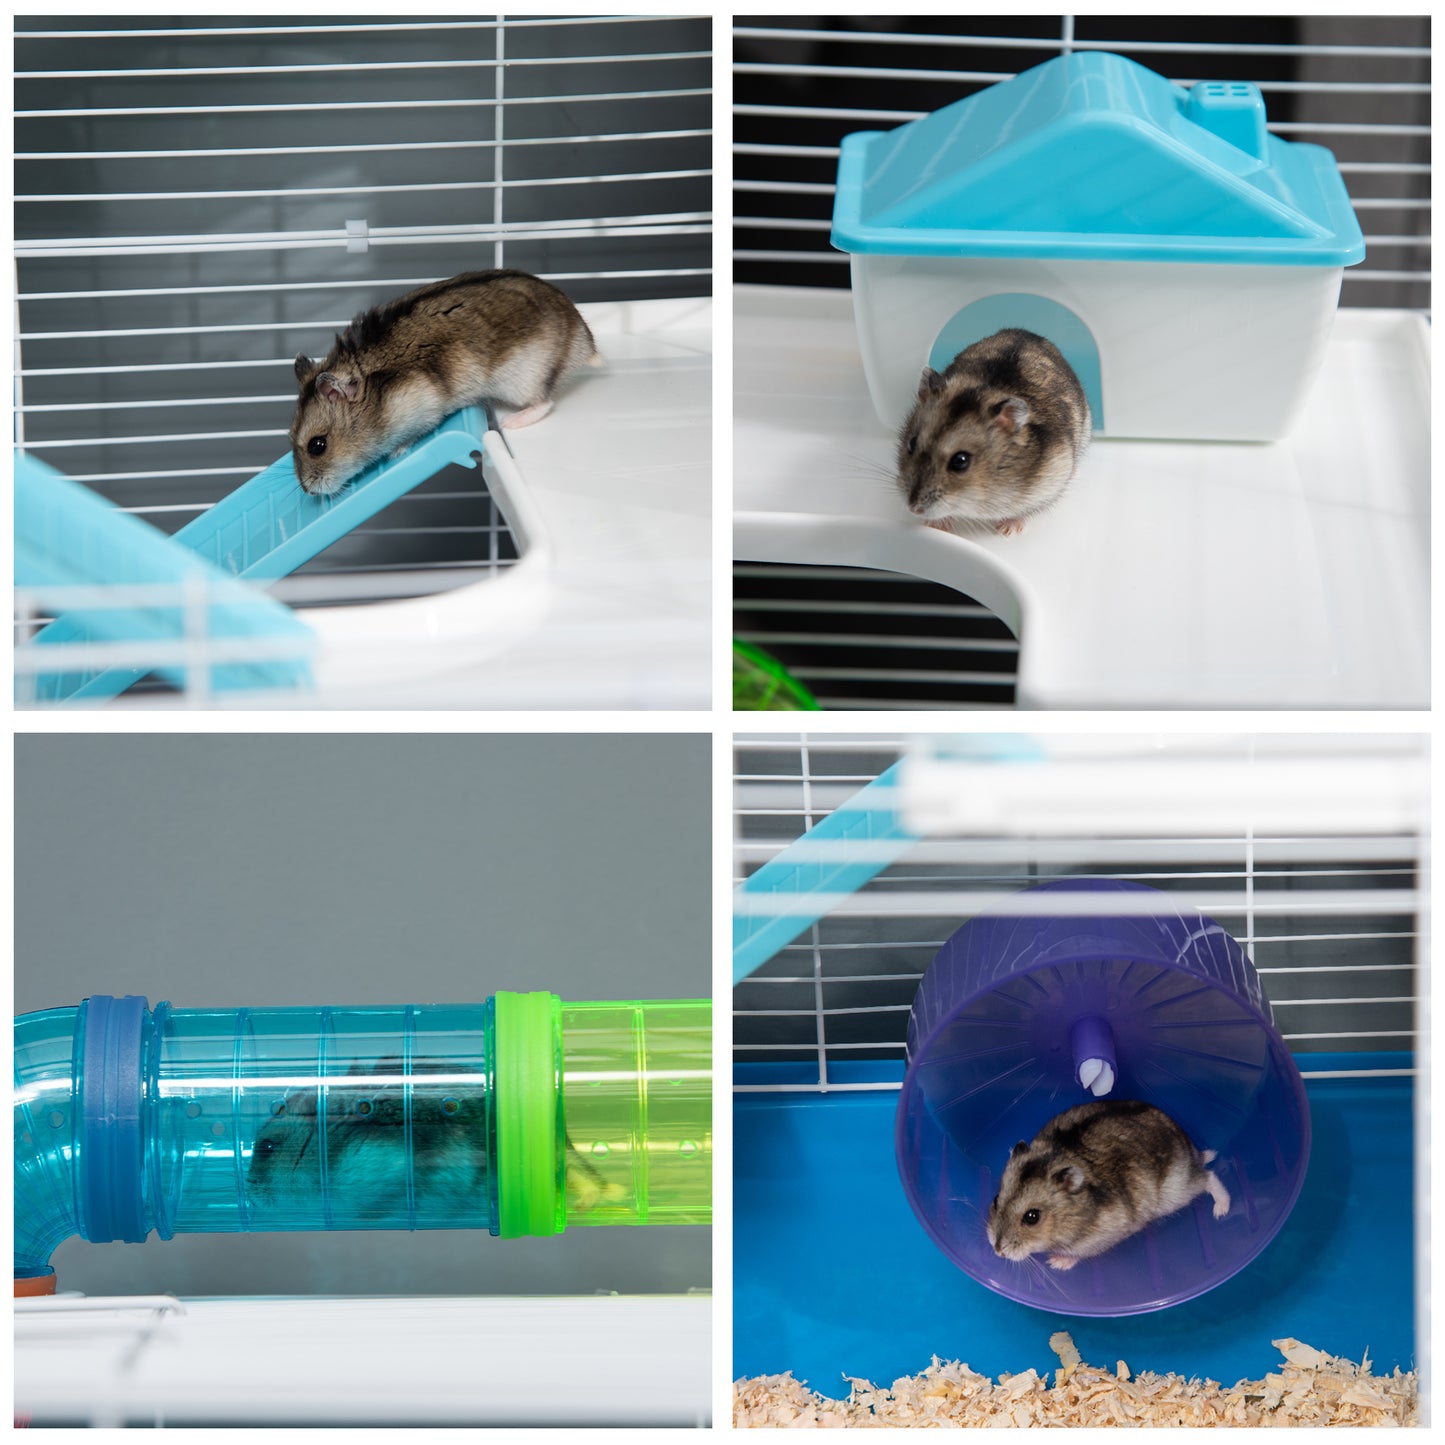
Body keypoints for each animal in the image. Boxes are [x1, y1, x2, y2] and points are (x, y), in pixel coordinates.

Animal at [290, 269, 600, 496]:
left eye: (318, 446)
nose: (308, 491)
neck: (376, 397)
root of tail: (584, 340)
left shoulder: (421, 405)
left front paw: (396, 452)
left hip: (523, 380)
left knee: (544, 403)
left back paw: (513, 422)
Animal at [897, 328, 1090, 537]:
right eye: (911, 444)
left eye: (961, 461)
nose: (913, 509)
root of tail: (1027, 332)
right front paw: (936, 525)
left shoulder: (1051, 479)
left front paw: (1006, 531)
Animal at [986, 1100, 1230, 1271]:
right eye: (995, 1200)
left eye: (1032, 1217)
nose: (997, 1251)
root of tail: (1192, 1150)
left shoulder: (1103, 1236)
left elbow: (1079, 1254)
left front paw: (1055, 1263)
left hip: (1178, 1190)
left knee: (1209, 1176)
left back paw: (1221, 1211)